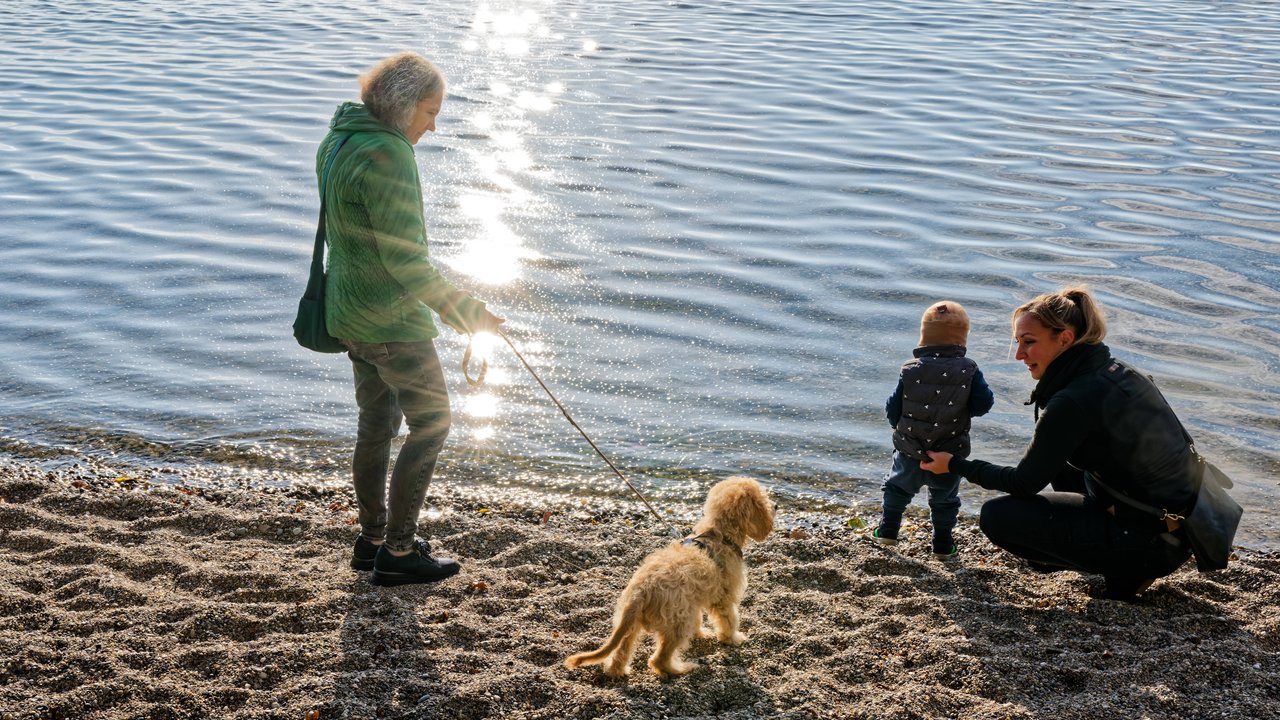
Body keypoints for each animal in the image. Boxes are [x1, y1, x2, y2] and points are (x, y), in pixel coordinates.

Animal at [568, 474, 768, 676]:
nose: (774, 506)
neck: (717, 534)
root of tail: (640, 591)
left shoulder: (693, 602)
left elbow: (699, 619)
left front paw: (701, 634)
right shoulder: (724, 599)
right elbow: (729, 621)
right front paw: (733, 638)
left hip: (634, 624)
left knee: (621, 653)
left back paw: (619, 671)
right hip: (677, 624)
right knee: (658, 660)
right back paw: (680, 669)